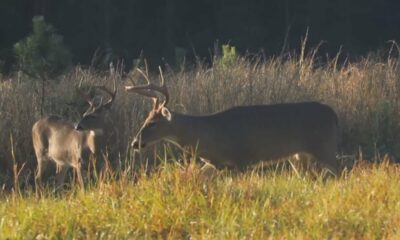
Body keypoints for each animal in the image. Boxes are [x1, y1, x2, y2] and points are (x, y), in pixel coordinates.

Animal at [124, 68, 340, 176]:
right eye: (145, 119)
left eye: (153, 123)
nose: (135, 143)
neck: (208, 135)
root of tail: (334, 115)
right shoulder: (216, 164)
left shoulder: (243, 158)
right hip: (299, 155)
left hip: (325, 147)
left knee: (340, 171)